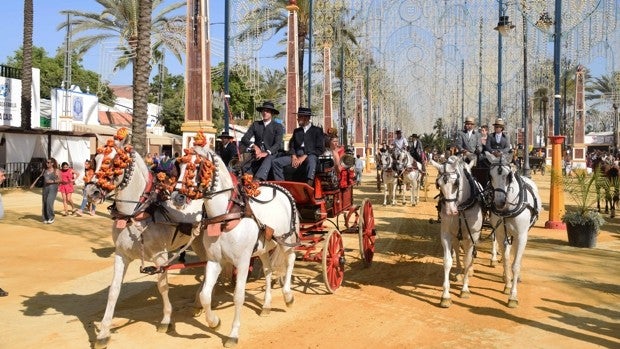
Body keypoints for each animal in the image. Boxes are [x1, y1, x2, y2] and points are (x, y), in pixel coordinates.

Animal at [432, 155, 484, 308]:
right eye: (438, 185)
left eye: (456, 183)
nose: (450, 212)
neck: (461, 207)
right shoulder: (446, 235)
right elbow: (448, 261)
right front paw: (445, 296)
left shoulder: (471, 236)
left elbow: (467, 259)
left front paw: (465, 289)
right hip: (456, 234)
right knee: (456, 247)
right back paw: (459, 272)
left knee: (470, 253)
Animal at [486, 152, 540, 308]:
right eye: (490, 175)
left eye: (509, 175)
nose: (499, 202)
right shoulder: (500, 233)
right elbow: (506, 259)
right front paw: (508, 284)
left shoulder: (521, 235)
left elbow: (515, 264)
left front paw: (513, 296)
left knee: (517, 254)